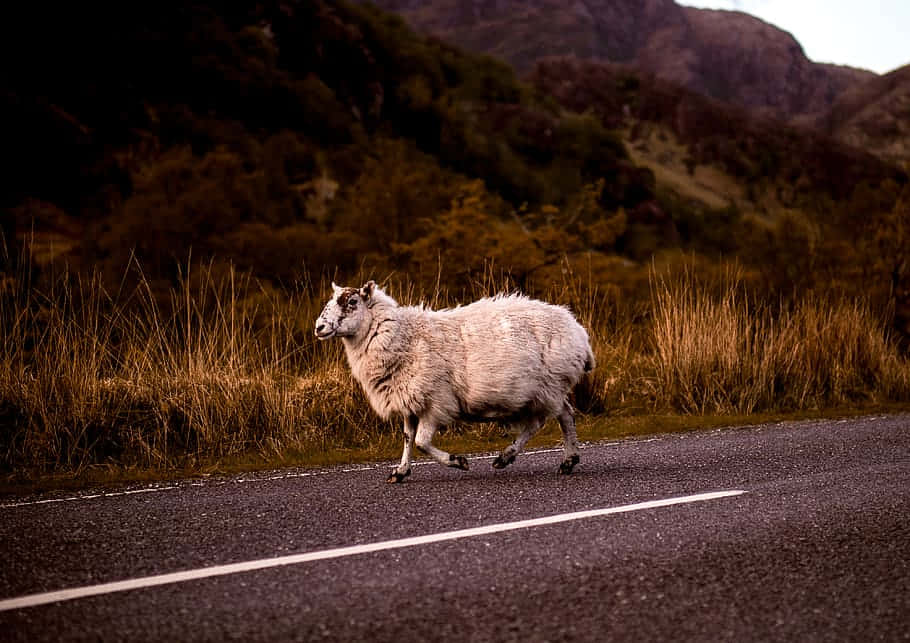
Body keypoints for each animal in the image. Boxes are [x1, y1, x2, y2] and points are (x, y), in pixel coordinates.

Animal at [315, 281, 595, 483]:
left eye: (352, 301)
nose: (319, 327)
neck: (405, 336)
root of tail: (578, 331)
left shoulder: (436, 403)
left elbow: (421, 442)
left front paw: (458, 462)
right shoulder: (409, 399)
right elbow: (407, 438)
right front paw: (400, 472)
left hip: (546, 387)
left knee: (545, 421)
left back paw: (509, 457)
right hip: (545, 391)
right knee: (563, 415)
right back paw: (566, 461)